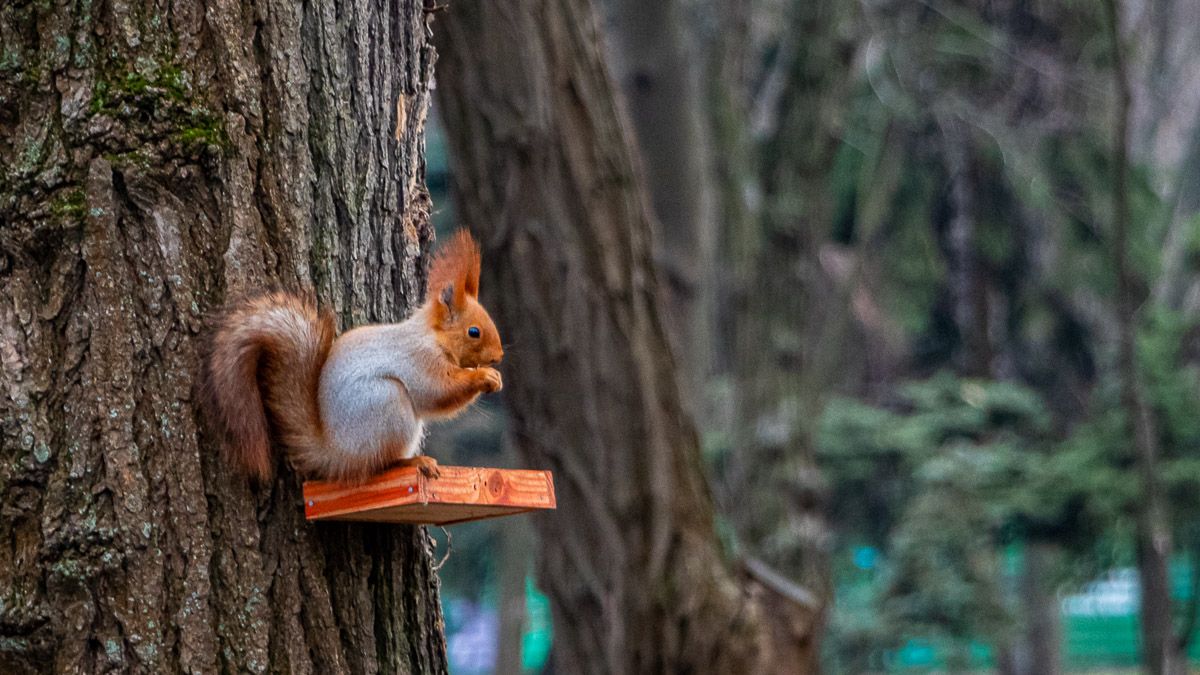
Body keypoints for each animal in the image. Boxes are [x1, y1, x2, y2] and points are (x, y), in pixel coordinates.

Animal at [201, 228, 501, 480]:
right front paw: (485, 377)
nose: (498, 357)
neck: (432, 336)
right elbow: (438, 391)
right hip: (387, 405)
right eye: (474, 331)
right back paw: (413, 462)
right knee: (379, 463)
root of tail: (335, 452)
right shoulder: (420, 359)